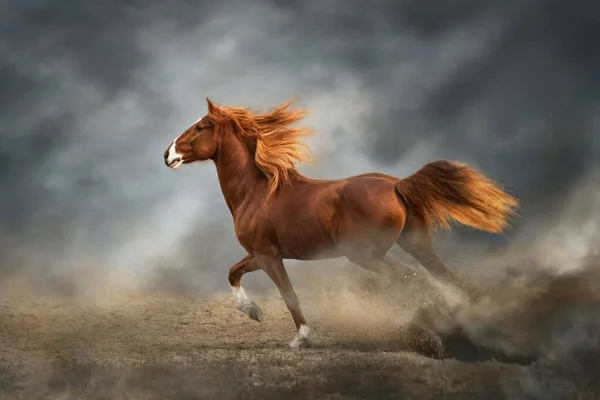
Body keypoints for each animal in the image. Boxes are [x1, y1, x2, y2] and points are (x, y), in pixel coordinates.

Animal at [162, 98, 516, 348]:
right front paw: (253, 312)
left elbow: (288, 294)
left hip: (366, 255)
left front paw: (301, 338)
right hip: (416, 244)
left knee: (414, 278)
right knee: (444, 277)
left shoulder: (269, 256)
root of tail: (397, 185)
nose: (167, 154)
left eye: (200, 127)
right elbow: (233, 273)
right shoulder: (260, 255)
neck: (256, 191)